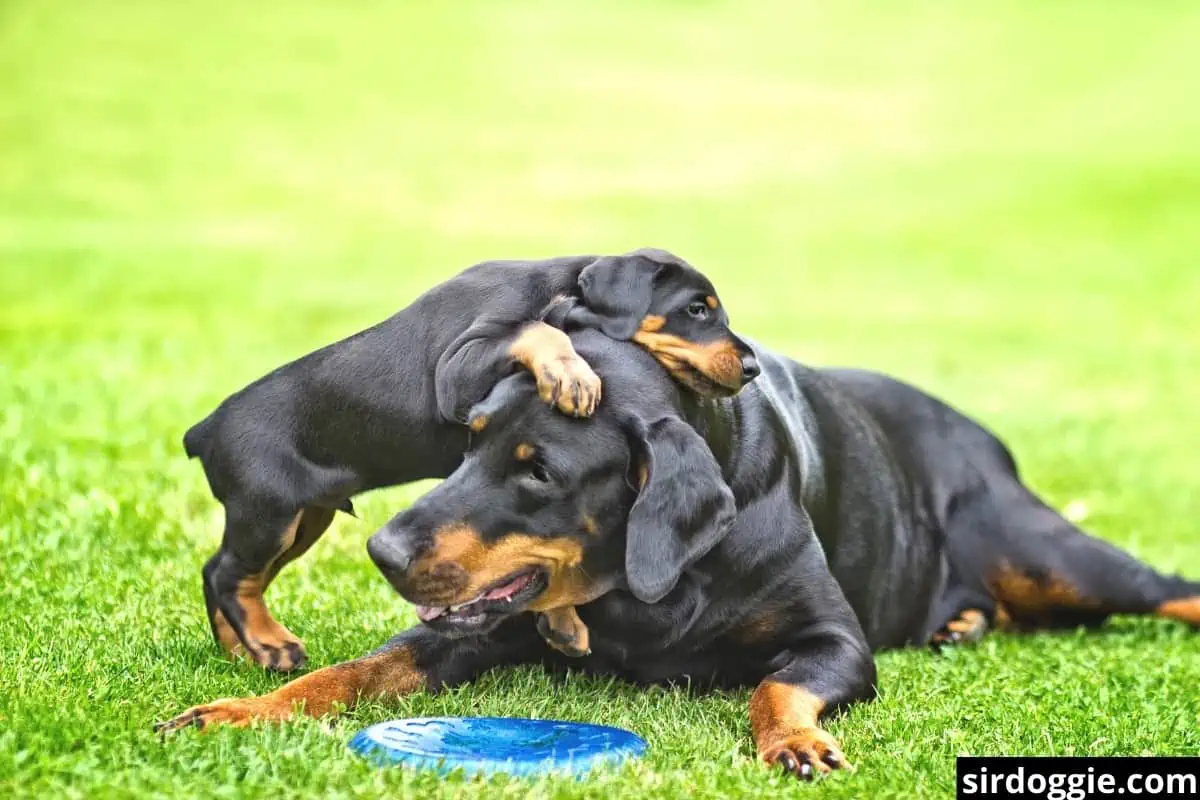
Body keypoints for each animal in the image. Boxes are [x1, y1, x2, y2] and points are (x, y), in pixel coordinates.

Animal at [162, 326, 1200, 782]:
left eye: (540, 472)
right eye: (470, 440)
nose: (382, 547)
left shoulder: (837, 643)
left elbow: (777, 681)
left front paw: (795, 740)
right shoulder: (466, 630)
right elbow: (357, 671)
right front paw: (238, 709)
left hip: (1043, 549)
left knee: (1158, 585)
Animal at [181, 248, 753, 671]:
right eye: (697, 309)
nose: (750, 366)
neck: (560, 289)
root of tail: (202, 430)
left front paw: (563, 624)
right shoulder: (458, 366)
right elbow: (534, 330)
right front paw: (570, 374)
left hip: (304, 520)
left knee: (226, 574)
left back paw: (243, 650)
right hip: (269, 513)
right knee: (227, 573)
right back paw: (268, 642)